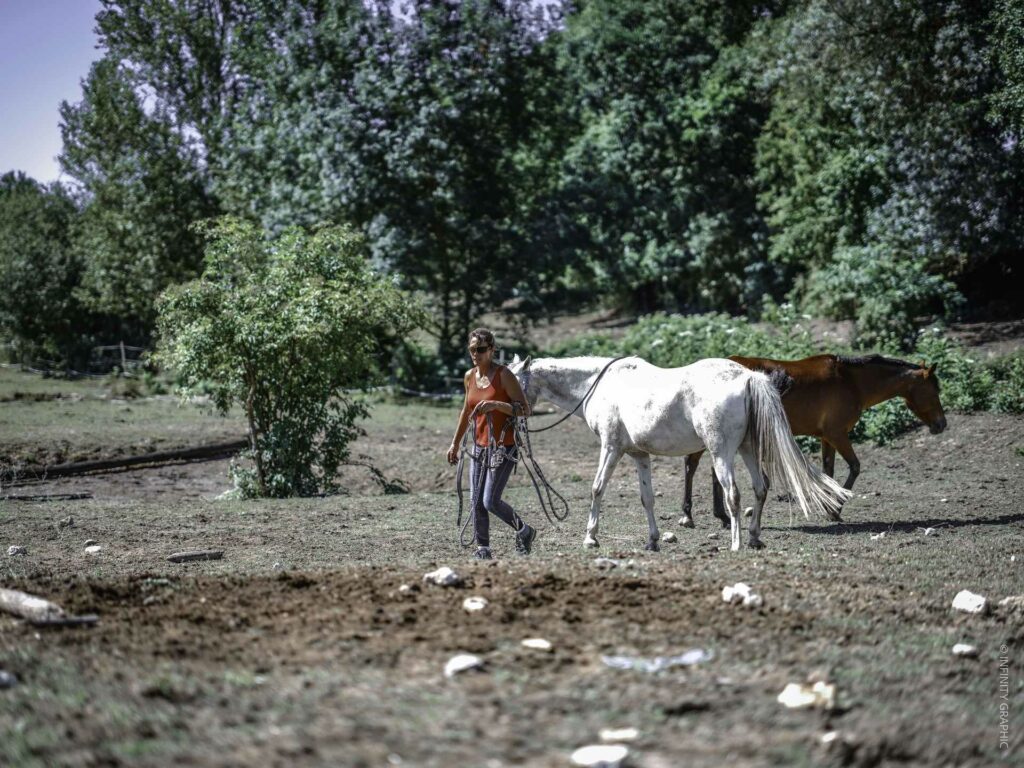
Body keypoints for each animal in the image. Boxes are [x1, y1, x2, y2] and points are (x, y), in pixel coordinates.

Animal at [507, 358, 851, 548]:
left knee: (734, 494)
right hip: (747, 450)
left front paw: (590, 537)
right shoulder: (639, 455)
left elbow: (597, 488)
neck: (599, 384)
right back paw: (754, 538)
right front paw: (652, 540)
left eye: (510, 380)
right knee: (760, 488)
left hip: (721, 453)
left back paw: (736, 543)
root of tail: (747, 377)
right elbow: (646, 498)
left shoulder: (611, 448)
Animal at [684, 354, 946, 528]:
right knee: (692, 465)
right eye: (934, 391)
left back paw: (720, 516)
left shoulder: (826, 438)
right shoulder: (838, 434)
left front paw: (829, 506)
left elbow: (829, 470)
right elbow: (855, 467)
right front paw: (834, 509)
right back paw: (689, 515)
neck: (852, 381)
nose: (942, 424)